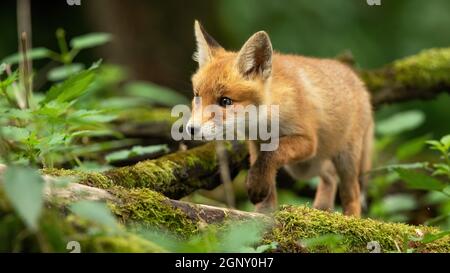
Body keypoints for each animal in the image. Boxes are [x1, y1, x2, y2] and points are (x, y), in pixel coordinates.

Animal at [186, 21, 372, 216]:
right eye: (197, 96)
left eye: (225, 101)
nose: (191, 129)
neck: (266, 121)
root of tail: (359, 81)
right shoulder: (256, 143)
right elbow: (263, 167)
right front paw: (263, 213)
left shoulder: (307, 140)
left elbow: (271, 155)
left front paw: (257, 186)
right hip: (305, 167)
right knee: (329, 175)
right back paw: (322, 209)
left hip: (344, 160)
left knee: (352, 193)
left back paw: (350, 218)